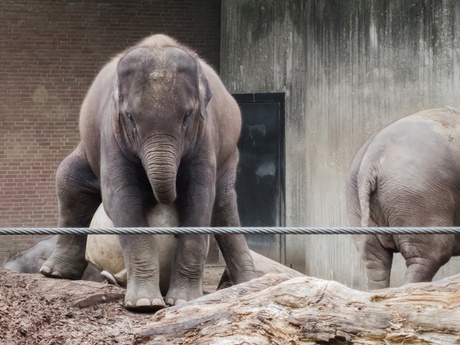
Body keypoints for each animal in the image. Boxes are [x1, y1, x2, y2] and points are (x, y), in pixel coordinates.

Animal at [40, 33, 256, 310]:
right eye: (131, 118)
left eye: (187, 116)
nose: (157, 197)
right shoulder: (111, 131)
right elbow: (122, 198)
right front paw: (145, 303)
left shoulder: (206, 135)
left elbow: (199, 200)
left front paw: (182, 301)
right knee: (68, 182)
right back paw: (54, 273)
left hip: (229, 157)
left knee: (223, 205)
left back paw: (249, 282)